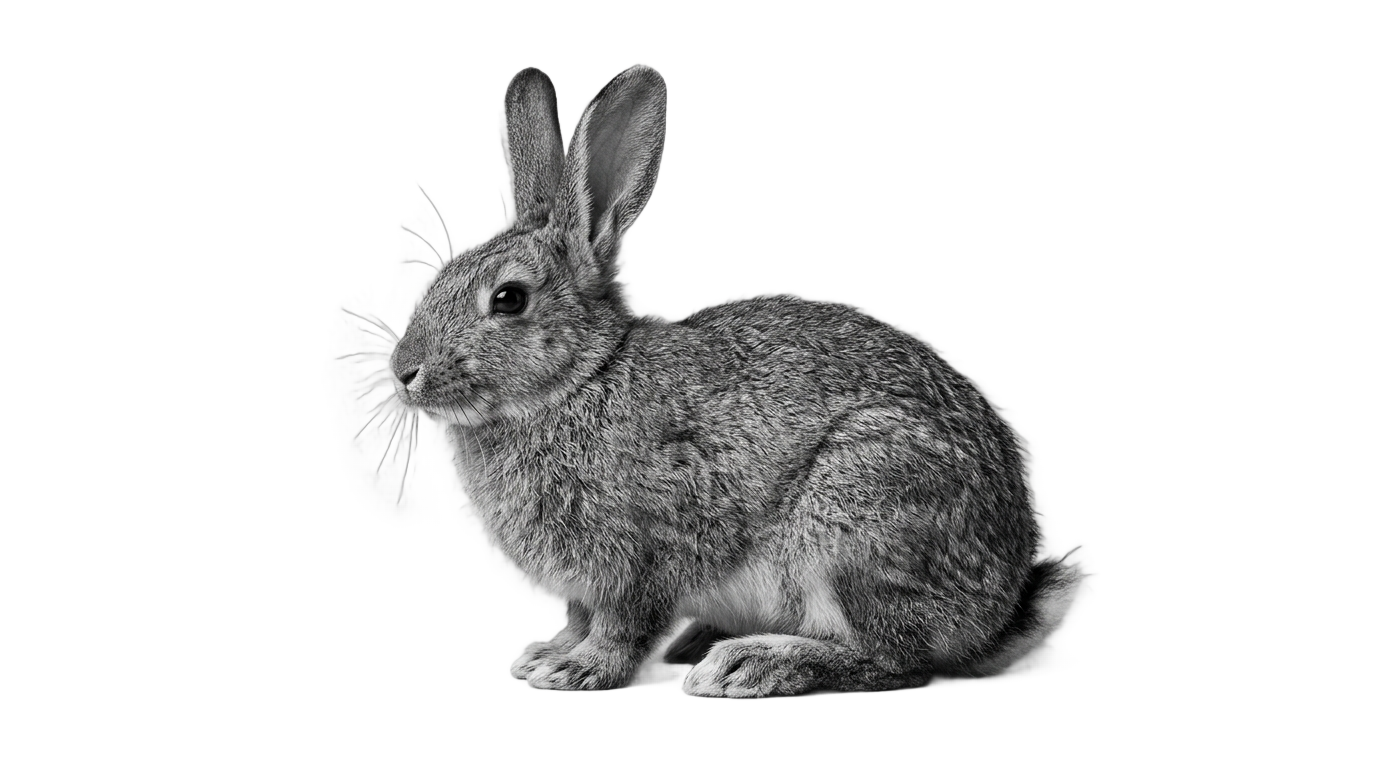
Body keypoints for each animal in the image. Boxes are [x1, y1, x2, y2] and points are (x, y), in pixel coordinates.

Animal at [390, 64, 1080, 697]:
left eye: (508, 299)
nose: (404, 373)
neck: (581, 379)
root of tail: (997, 614)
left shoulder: (640, 556)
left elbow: (622, 627)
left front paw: (576, 668)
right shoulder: (584, 585)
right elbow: (578, 618)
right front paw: (548, 653)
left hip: (856, 522)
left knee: (896, 661)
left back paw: (752, 663)